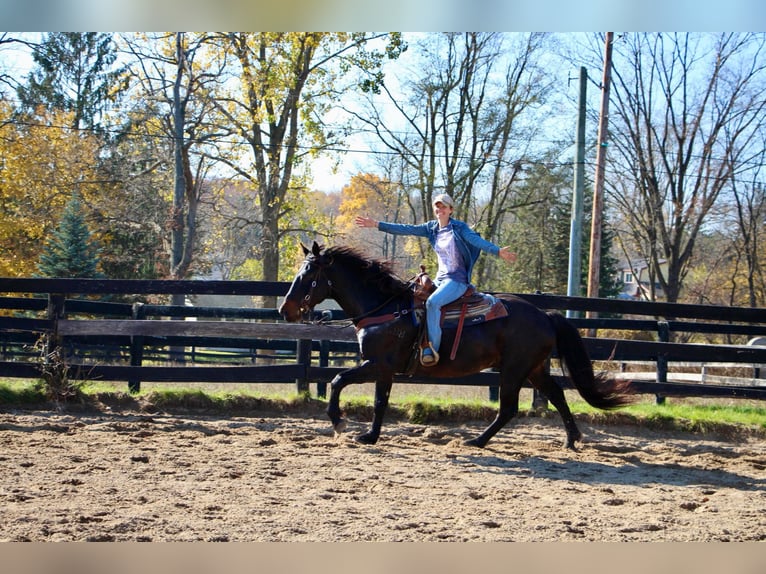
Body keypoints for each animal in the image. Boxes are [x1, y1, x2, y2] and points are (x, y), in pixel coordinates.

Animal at [280, 242, 632, 450]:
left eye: (308, 275)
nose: (285, 310)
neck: (386, 307)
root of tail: (545, 315)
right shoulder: (385, 371)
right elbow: (380, 402)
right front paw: (370, 435)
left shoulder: (377, 365)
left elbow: (338, 380)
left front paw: (339, 421)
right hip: (533, 370)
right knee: (556, 395)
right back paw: (571, 439)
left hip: (514, 370)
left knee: (509, 408)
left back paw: (477, 441)